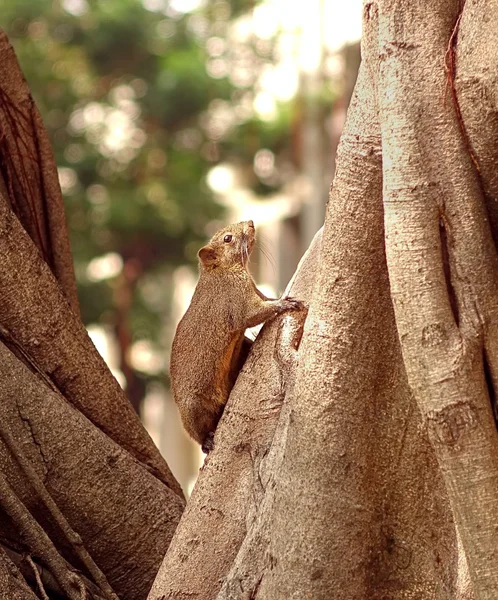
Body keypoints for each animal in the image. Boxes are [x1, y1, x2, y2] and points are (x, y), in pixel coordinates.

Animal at [171, 219, 304, 450]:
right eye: (227, 238)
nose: (250, 222)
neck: (222, 272)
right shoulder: (238, 303)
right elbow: (254, 314)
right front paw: (285, 303)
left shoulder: (256, 292)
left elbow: (266, 300)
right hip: (192, 408)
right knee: (197, 432)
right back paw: (206, 441)